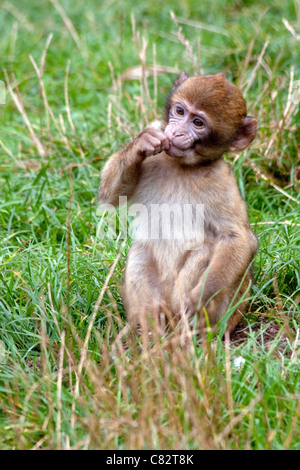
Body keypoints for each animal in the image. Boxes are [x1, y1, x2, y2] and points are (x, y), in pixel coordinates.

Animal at [98, 72, 258, 334]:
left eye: (198, 123)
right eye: (180, 111)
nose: (176, 132)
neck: (181, 167)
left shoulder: (221, 181)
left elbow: (238, 237)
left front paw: (201, 297)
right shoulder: (154, 159)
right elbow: (109, 198)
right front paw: (141, 143)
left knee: (206, 250)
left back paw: (189, 332)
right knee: (141, 250)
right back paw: (148, 327)